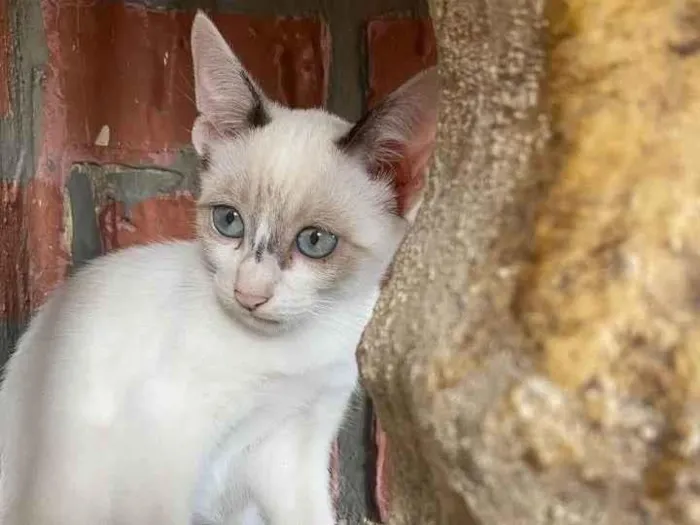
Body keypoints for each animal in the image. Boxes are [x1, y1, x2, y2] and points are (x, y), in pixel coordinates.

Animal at [0, 9, 438, 524]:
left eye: (315, 241)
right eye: (229, 221)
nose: (250, 294)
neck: (292, 349)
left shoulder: (294, 446)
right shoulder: (163, 430)